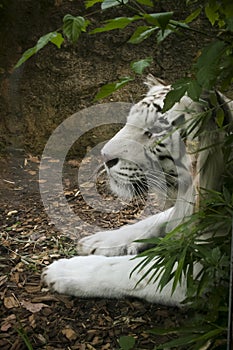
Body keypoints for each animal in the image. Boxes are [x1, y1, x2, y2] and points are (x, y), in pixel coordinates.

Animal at [41, 76, 231, 306]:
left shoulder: (206, 266)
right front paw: (99, 240)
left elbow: (132, 269)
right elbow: (153, 221)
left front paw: (67, 270)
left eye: (154, 131)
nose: (104, 156)